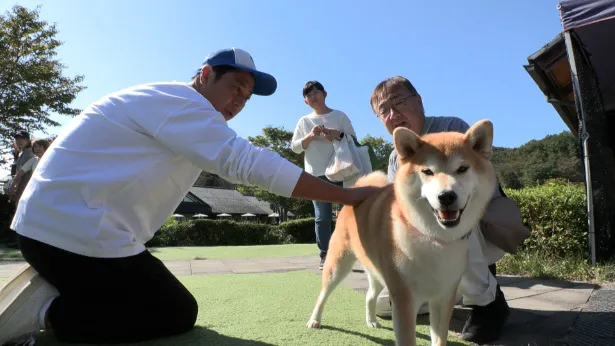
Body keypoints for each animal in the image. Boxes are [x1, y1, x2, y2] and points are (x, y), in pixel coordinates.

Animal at [306, 119, 498, 346]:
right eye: (427, 171)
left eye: (462, 168)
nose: (446, 196)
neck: (433, 237)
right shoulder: (404, 299)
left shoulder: (444, 297)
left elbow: (439, 338)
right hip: (338, 265)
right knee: (323, 294)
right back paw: (314, 320)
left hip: (377, 272)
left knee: (370, 295)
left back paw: (372, 321)